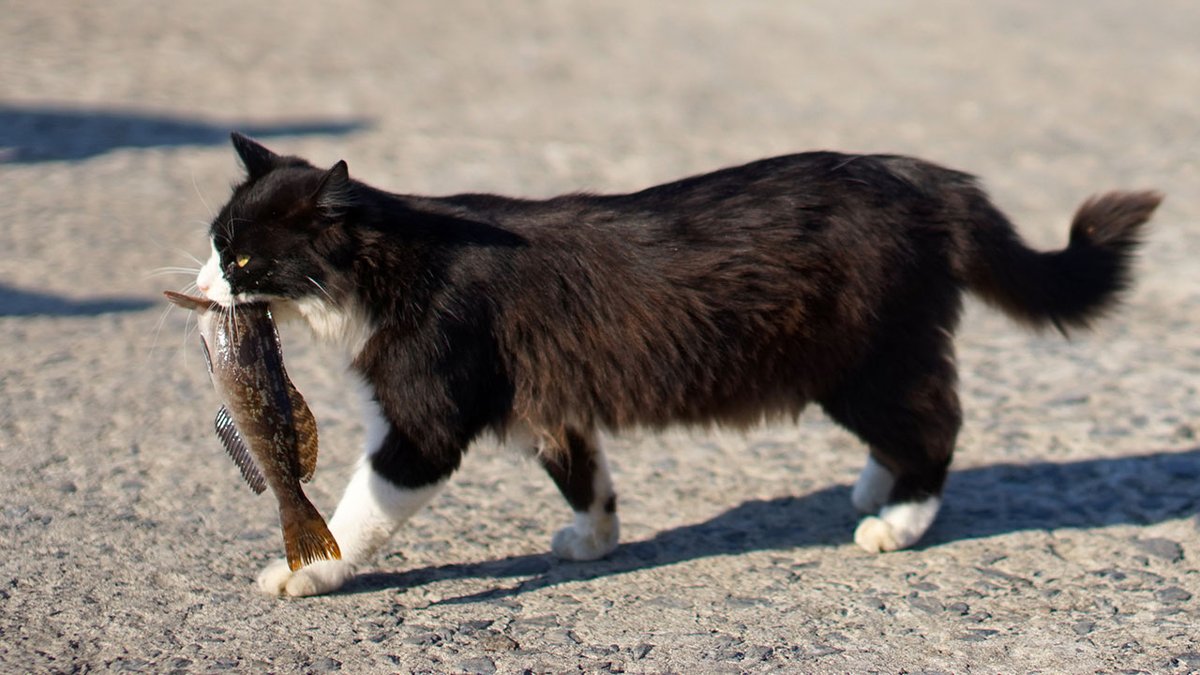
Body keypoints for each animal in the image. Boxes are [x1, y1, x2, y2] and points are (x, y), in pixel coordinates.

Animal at [196, 131, 1161, 593]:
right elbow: (583, 472)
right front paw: (595, 539)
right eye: (214, 237)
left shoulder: (424, 422)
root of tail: (927, 175)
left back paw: (899, 517)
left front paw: (310, 571)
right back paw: (873, 487)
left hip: (864, 363)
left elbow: (356, 510)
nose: (203, 282)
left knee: (938, 426)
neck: (396, 264)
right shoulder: (553, 399)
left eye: (244, 259)